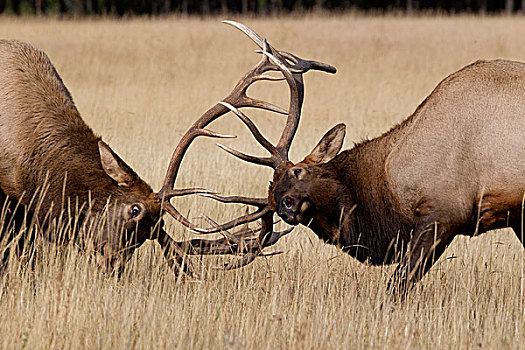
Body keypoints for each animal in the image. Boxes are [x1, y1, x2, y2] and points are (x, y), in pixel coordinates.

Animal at [164, 22, 524, 292]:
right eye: (273, 198)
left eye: (299, 172)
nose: (287, 206)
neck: (388, 183)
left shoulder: (444, 211)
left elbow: (396, 288)